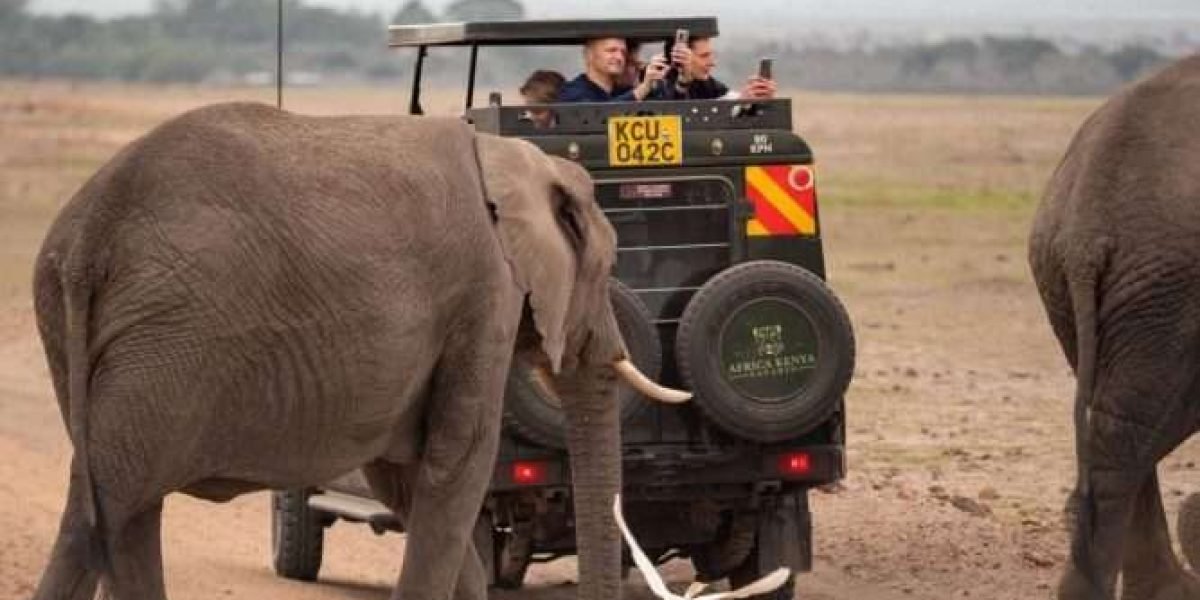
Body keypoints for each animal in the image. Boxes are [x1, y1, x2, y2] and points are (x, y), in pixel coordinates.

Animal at [28, 101, 688, 600]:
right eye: (607, 268)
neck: (511, 157)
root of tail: (89, 236)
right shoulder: (484, 296)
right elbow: (458, 462)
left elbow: (408, 478)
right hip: (166, 342)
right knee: (106, 510)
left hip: (79, 329)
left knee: (117, 513)